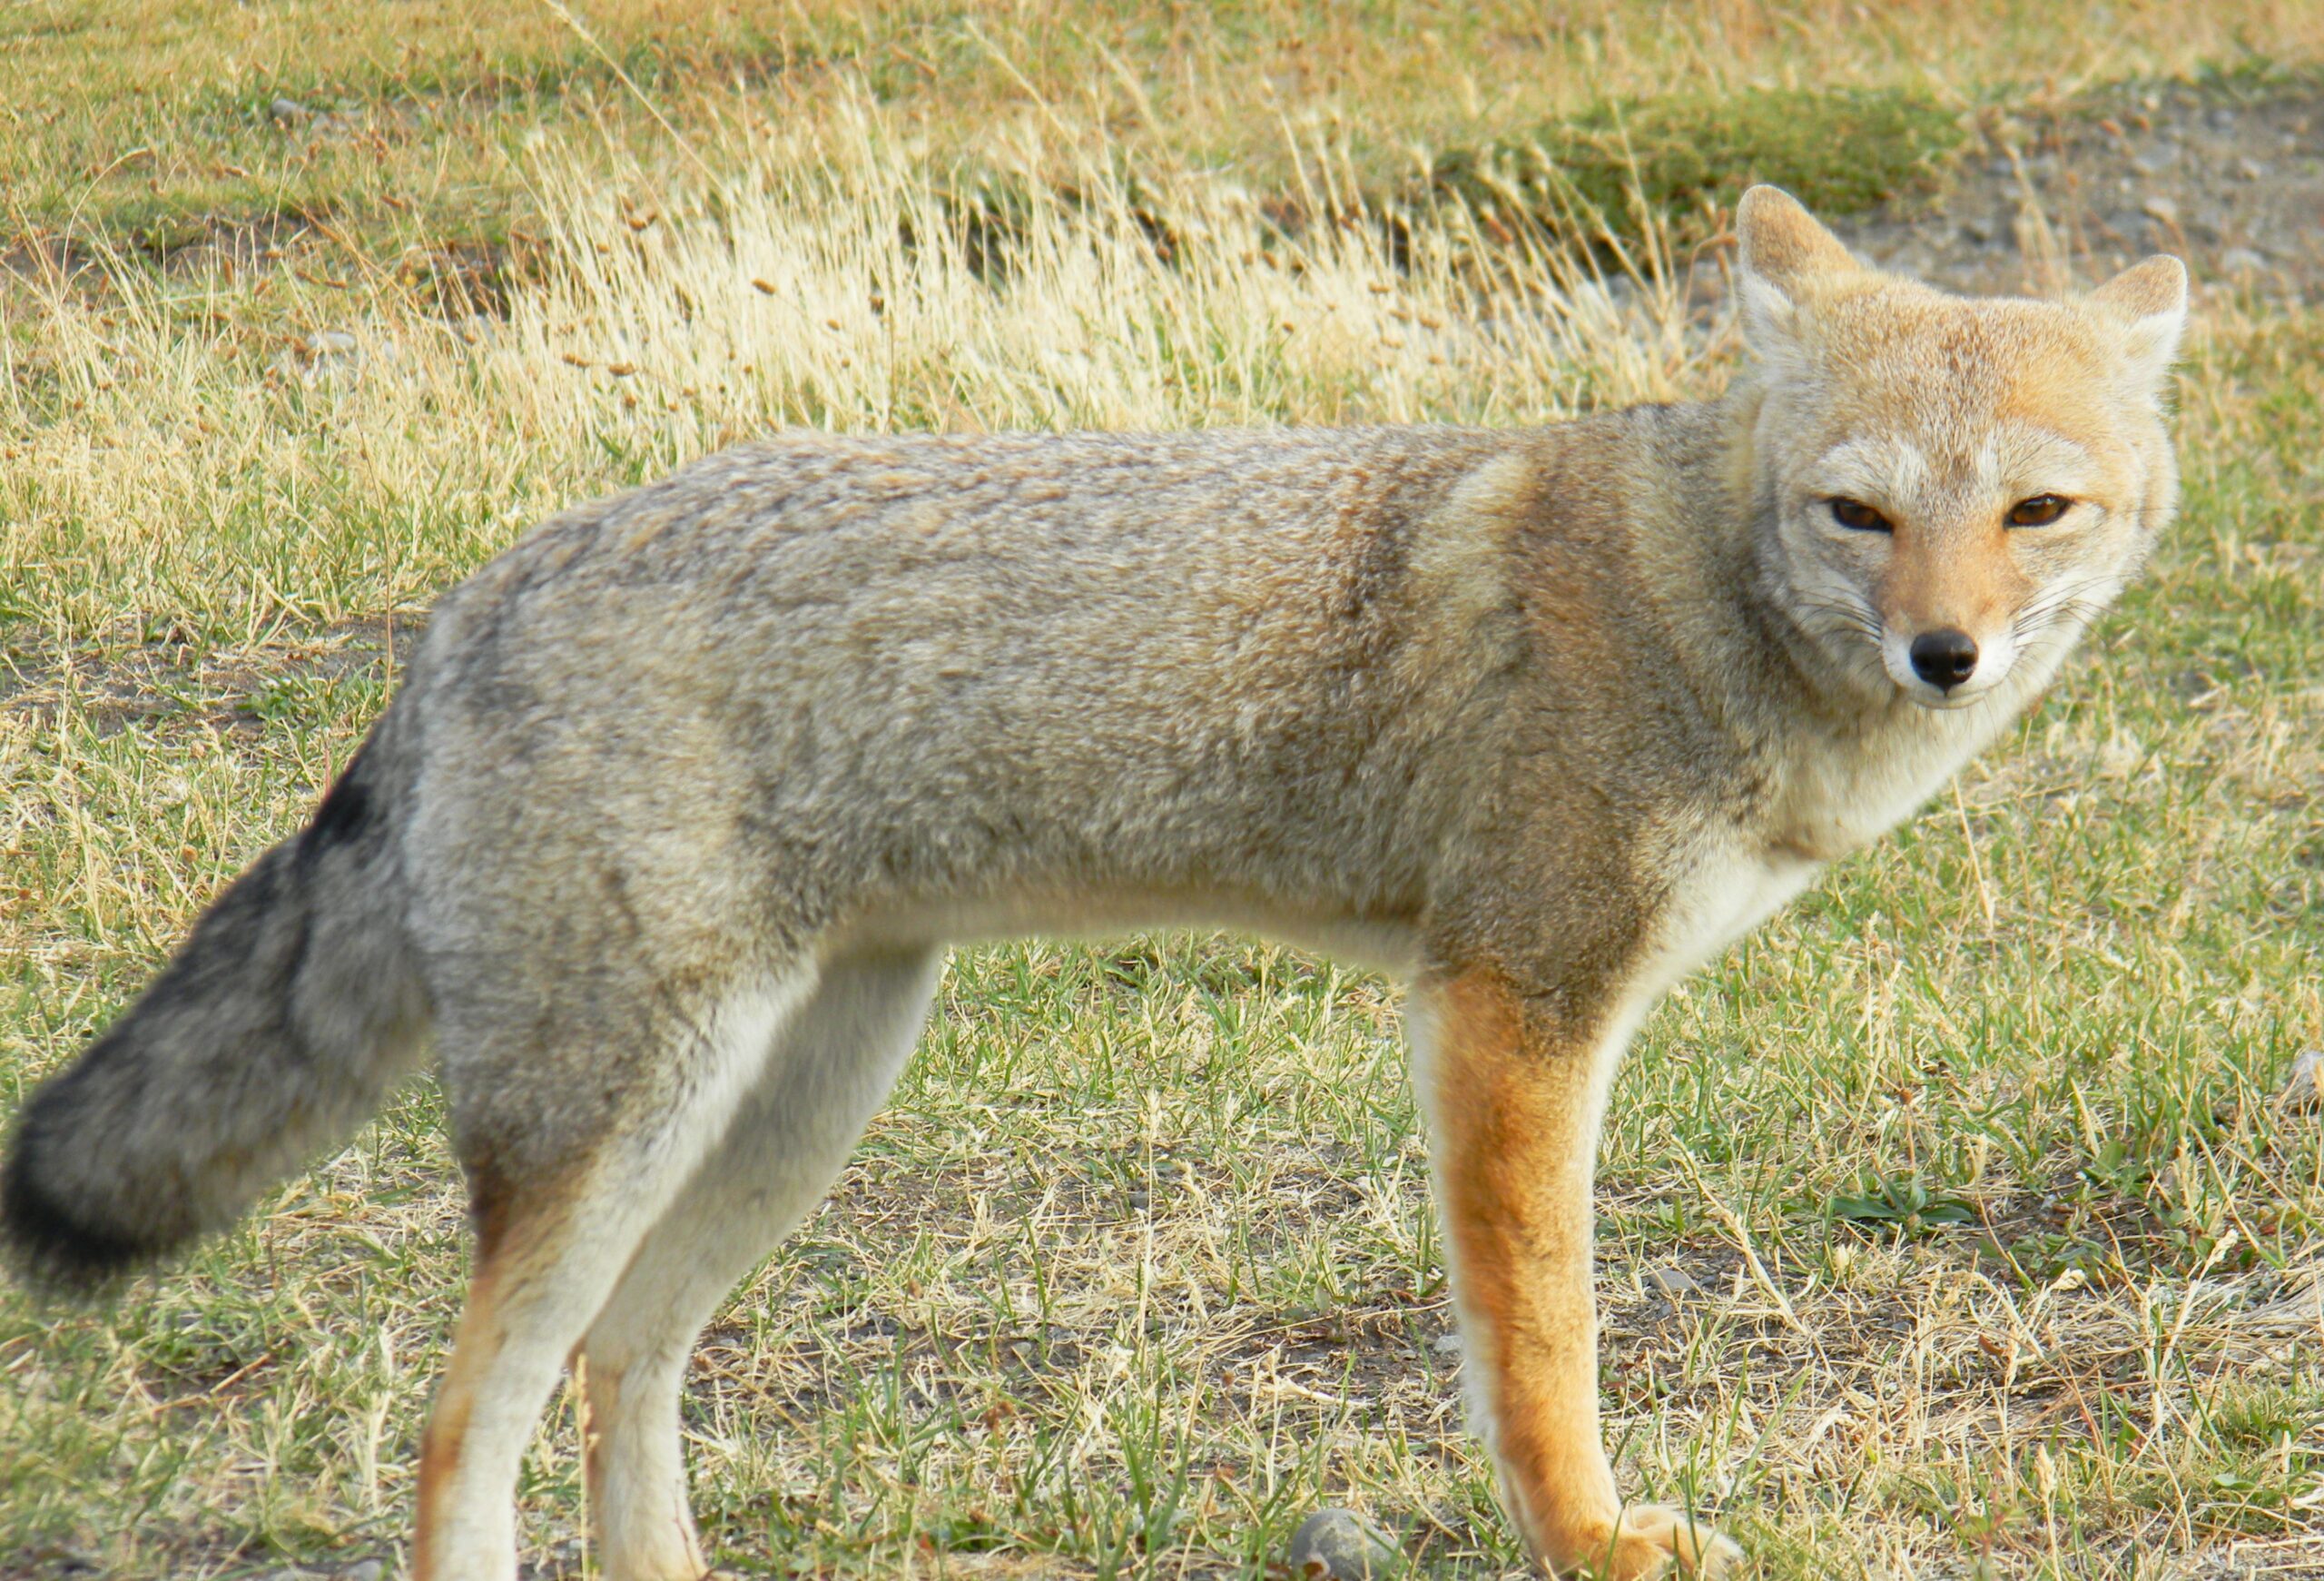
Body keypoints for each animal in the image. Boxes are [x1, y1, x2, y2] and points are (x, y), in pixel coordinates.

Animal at [2, 187, 2185, 1579]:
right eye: (1860, 515)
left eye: (2034, 512)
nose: (1946, 655)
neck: (1676, 588)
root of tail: (472, 598)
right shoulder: (1511, 1009)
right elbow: (1542, 1349)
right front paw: (1587, 1539)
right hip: (630, 1119)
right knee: (476, 1417)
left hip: (800, 1100)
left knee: (628, 1364)